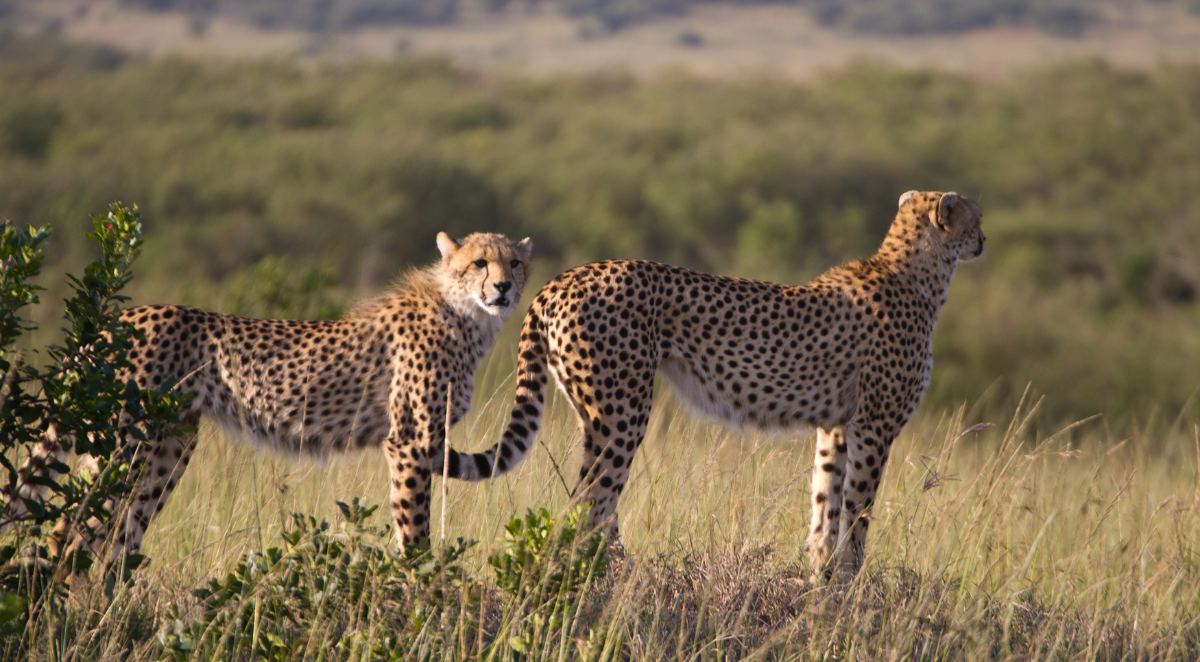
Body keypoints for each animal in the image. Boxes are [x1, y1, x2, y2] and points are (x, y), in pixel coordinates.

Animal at [6, 231, 532, 558]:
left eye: (515, 262)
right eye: (480, 263)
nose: (504, 286)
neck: (466, 314)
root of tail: (121, 318)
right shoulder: (409, 440)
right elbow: (413, 527)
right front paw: (419, 583)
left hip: (169, 446)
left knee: (116, 540)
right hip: (125, 446)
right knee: (68, 533)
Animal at [436, 191, 984, 580]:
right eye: (975, 218)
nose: (983, 241)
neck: (916, 274)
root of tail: (561, 278)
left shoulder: (835, 427)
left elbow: (824, 506)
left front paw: (820, 581)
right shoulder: (874, 427)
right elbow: (858, 512)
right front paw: (851, 584)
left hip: (595, 414)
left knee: (589, 502)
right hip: (622, 411)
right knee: (590, 503)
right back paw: (616, 580)